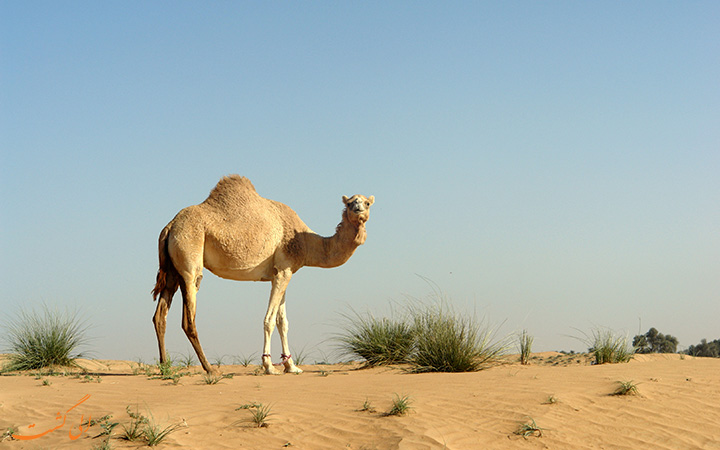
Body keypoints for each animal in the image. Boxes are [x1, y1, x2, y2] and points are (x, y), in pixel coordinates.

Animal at [152, 174, 376, 374]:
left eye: (367, 202)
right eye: (350, 203)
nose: (358, 209)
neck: (305, 241)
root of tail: (169, 226)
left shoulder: (281, 273)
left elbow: (283, 322)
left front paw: (291, 366)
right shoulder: (284, 270)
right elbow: (269, 321)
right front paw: (269, 366)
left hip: (172, 270)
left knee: (160, 315)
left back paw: (164, 367)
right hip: (190, 260)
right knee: (189, 319)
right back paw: (210, 369)